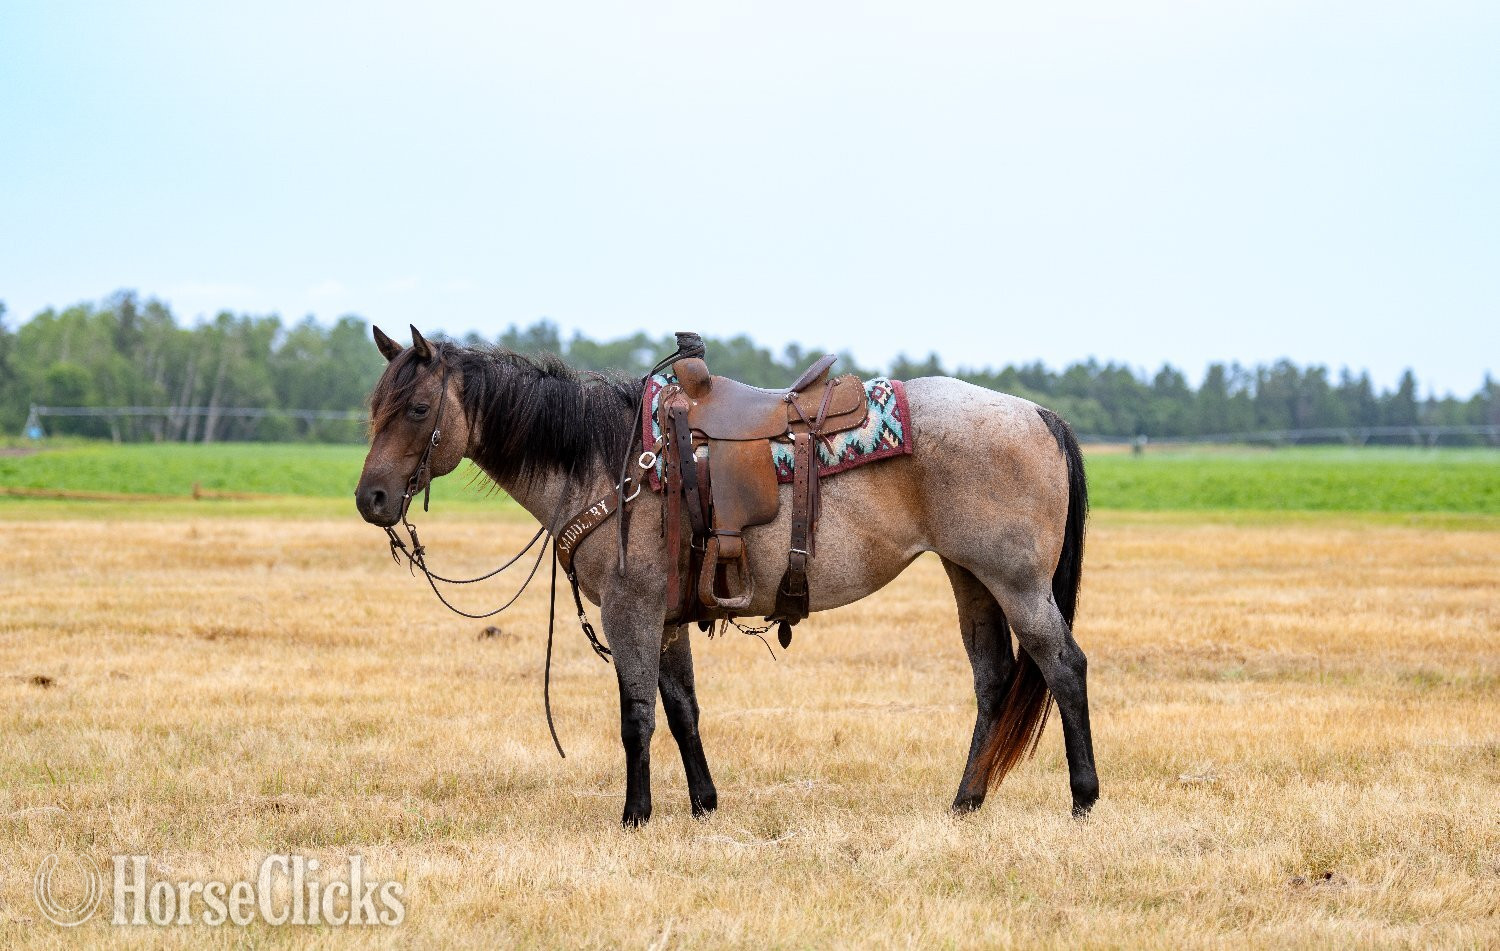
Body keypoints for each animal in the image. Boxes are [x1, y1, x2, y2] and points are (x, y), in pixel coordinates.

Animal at [355, 326, 1098, 826]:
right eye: (373, 406)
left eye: (417, 410)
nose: (371, 499)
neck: (610, 457)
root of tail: (1037, 413)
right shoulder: (666, 618)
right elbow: (682, 708)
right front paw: (703, 804)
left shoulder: (630, 610)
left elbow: (636, 714)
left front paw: (636, 815)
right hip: (970, 575)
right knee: (993, 679)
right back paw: (965, 800)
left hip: (1018, 584)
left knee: (1064, 666)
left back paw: (1083, 797)